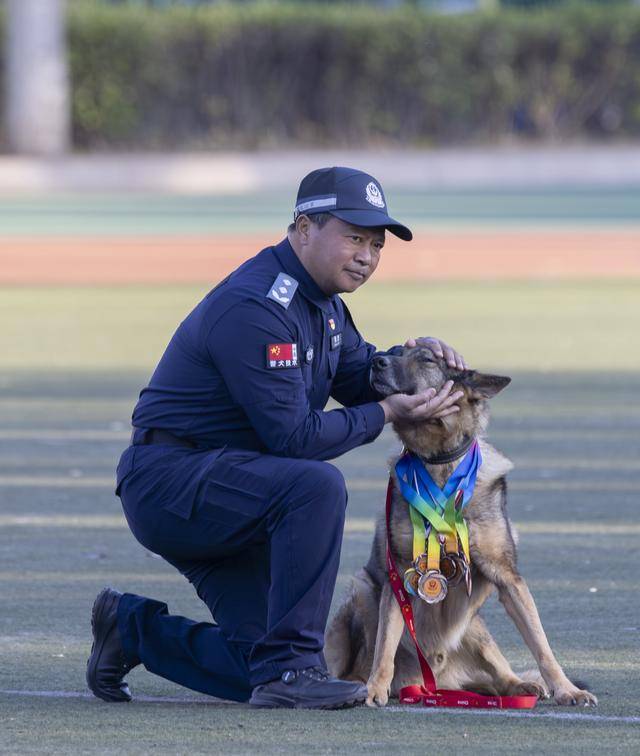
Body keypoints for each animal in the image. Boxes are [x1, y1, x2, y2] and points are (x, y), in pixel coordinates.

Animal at [328, 346, 596, 704]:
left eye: (427, 358)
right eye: (398, 350)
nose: (377, 361)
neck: (439, 463)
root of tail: (434, 681)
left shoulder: (509, 579)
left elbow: (541, 644)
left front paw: (567, 689)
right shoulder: (397, 578)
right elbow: (384, 646)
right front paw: (374, 688)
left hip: (475, 626)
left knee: (499, 667)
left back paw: (520, 685)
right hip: (361, 590)